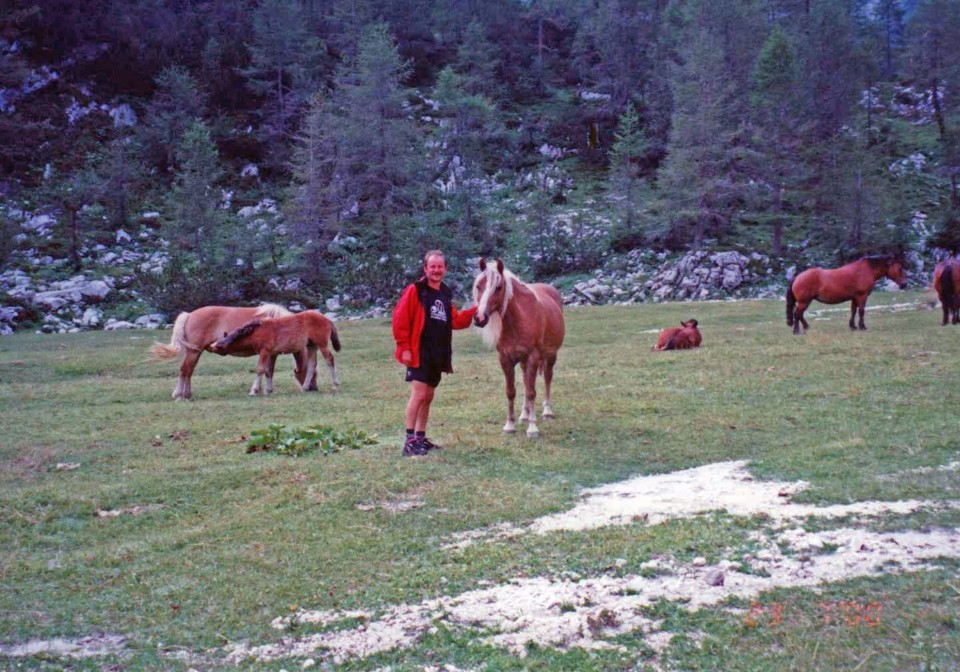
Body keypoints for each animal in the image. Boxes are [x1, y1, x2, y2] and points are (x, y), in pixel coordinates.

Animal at [150, 304, 316, 400]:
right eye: (313, 374)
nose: (313, 389)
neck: (282, 323)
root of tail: (190, 314)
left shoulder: (269, 353)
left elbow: (268, 371)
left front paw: (266, 390)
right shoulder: (270, 353)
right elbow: (268, 371)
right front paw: (265, 390)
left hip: (195, 352)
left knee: (188, 371)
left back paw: (188, 395)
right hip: (193, 352)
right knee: (185, 370)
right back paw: (179, 395)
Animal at [210, 312, 342, 396]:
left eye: (219, 347)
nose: (211, 346)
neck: (255, 332)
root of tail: (327, 319)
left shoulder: (264, 352)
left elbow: (260, 369)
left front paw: (254, 391)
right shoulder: (272, 354)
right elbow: (269, 371)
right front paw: (268, 390)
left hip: (321, 344)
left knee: (329, 359)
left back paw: (335, 386)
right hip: (311, 346)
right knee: (311, 365)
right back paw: (305, 387)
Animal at [470, 258, 564, 440]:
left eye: (498, 287)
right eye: (478, 286)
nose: (480, 318)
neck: (519, 319)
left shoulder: (533, 358)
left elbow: (532, 392)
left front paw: (533, 429)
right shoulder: (505, 360)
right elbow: (511, 391)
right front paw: (510, 425)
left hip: (550, 356)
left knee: (547, 378)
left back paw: (547, 411)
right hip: (522, 362)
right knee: (526, 381)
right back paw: (524, 414)